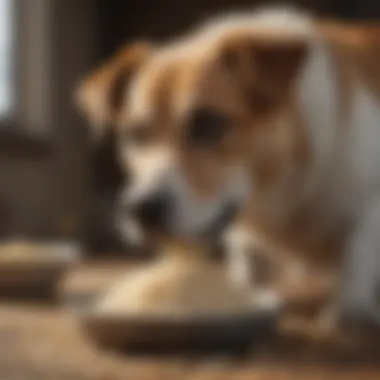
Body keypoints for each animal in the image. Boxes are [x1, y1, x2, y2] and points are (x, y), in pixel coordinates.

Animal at [75, 5, 380, 326]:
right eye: (136, 133)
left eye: (208, 124)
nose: (143, 209)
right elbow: (248, 259)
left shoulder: (370, 203)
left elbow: (359, 251)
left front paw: (349, 312)